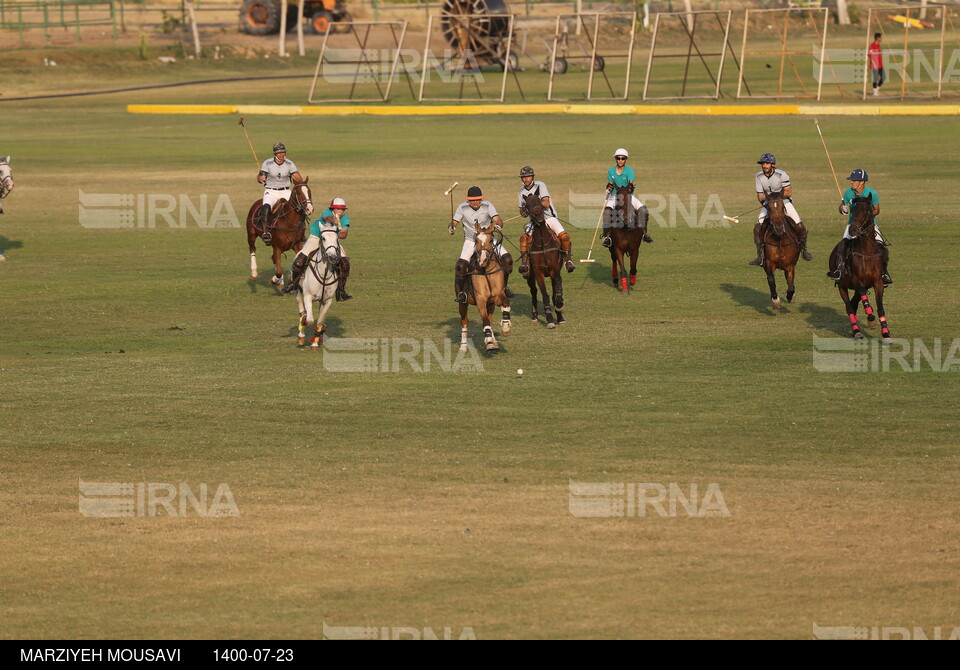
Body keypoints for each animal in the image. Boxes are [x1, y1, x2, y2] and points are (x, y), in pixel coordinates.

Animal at [296, 218, 342, 350]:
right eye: (323, 238)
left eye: (336, 238)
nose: (332, 257)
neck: (324, 273)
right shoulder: (308, 296)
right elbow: (310, 319)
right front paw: (305, 325)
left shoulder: (327, 299)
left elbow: (320, 320)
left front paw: (316, 340)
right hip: (298, 290)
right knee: (301, 309)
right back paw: (301, 335)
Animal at [458, 224, 510, 354]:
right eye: (476, 240)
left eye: (491, 240)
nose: (482, 261)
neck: (486, 270)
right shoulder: (480, 299)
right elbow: (485, 321)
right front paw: (489, 343)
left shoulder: (497, 296)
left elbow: (506, 302)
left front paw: (506, 327)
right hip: (462, 303)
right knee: (464, 321)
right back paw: (463, 346)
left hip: (490, 304)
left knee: (490, 320)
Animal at [520, 193, 568, 330]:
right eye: (527, 205)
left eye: (540, 202)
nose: (540, 217)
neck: (542, 243)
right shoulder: (538, 273)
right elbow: (545, 296)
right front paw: (550, 319)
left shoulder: (555, 271)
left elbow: (556, 292)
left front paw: (560, 314)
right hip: (530, 276)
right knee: (534, 292)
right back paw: (534, 316)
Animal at [828, 193, 888, 342]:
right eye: (853, 210)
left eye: (866, 211)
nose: (852, 230)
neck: (867, 252)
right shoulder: (856, 280)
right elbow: (862, 297)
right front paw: (870, 316)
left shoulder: (877, 282)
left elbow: (880, 307)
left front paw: (886, 333)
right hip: (842, 286)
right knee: (849, 307)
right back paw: (857, 331)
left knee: (854, 304)